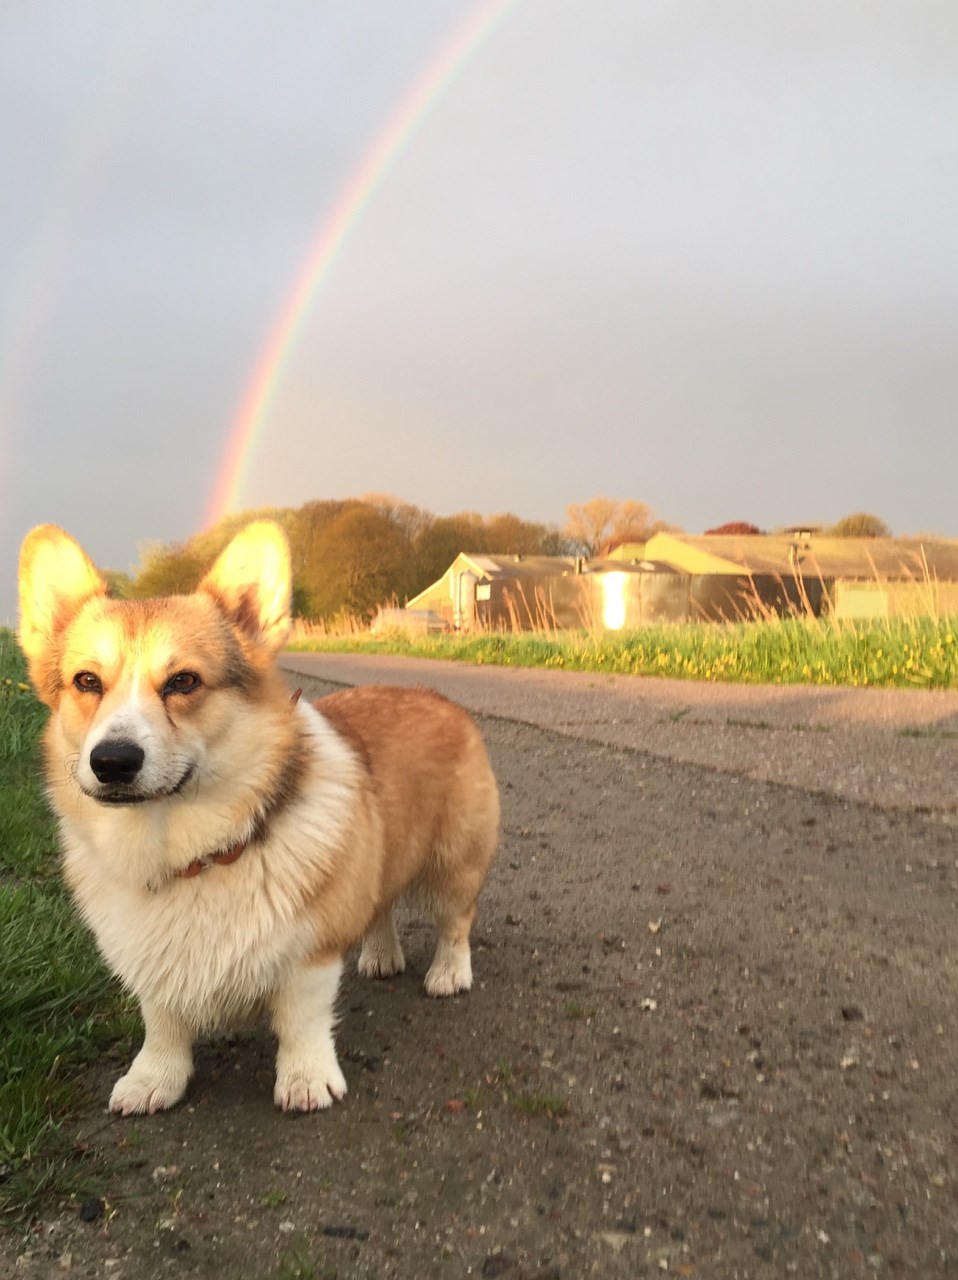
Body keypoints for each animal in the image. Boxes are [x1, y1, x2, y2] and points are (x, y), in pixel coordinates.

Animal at [16, 524, 502, 1116]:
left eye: (183, 681)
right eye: (86, 681)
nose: (111, 762)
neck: (193, 853)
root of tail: (436, 696)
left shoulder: (310, 953)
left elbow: (301, 1020)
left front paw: (306, 1080)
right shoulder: (150, 961)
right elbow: (162, 1022)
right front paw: (154, 1079)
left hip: (455, 862)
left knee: (456, 921)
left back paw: (448, 973)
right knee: (380, 903)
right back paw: (381, 955)